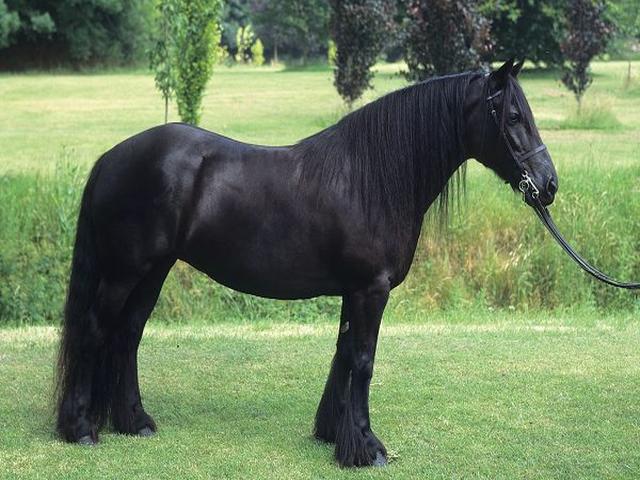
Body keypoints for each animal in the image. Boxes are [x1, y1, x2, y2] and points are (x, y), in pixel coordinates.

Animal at [55, 59, 558, 467]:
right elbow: (364, 361)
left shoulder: (354, 291)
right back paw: (80, 429)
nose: (549, 184)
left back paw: (134, 421)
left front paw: (334, 434)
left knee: (127, 335)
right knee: (96, 330)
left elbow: (344, 354)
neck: (370, 179)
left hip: (152, 271)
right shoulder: (370, 290)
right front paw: (366, 447)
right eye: (514, 116)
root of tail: (110, 158)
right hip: (124, 272)